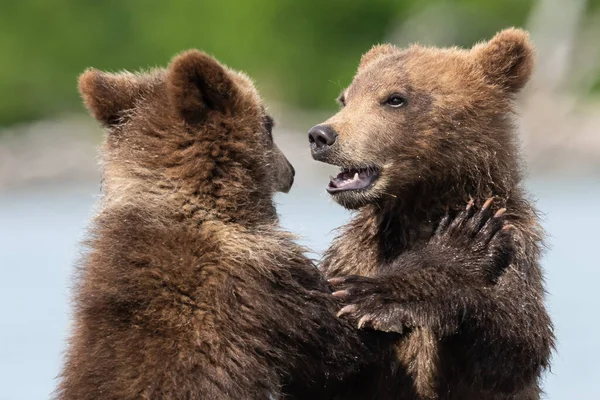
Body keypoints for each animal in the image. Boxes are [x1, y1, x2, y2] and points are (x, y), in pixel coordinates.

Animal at [312, 27, 556, 396]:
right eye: (346, 99)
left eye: (394, 98)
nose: (321, 135)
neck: (423, 203)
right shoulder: (354, 254)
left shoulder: (514, 243)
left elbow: (520, 341)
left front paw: (388, 297)